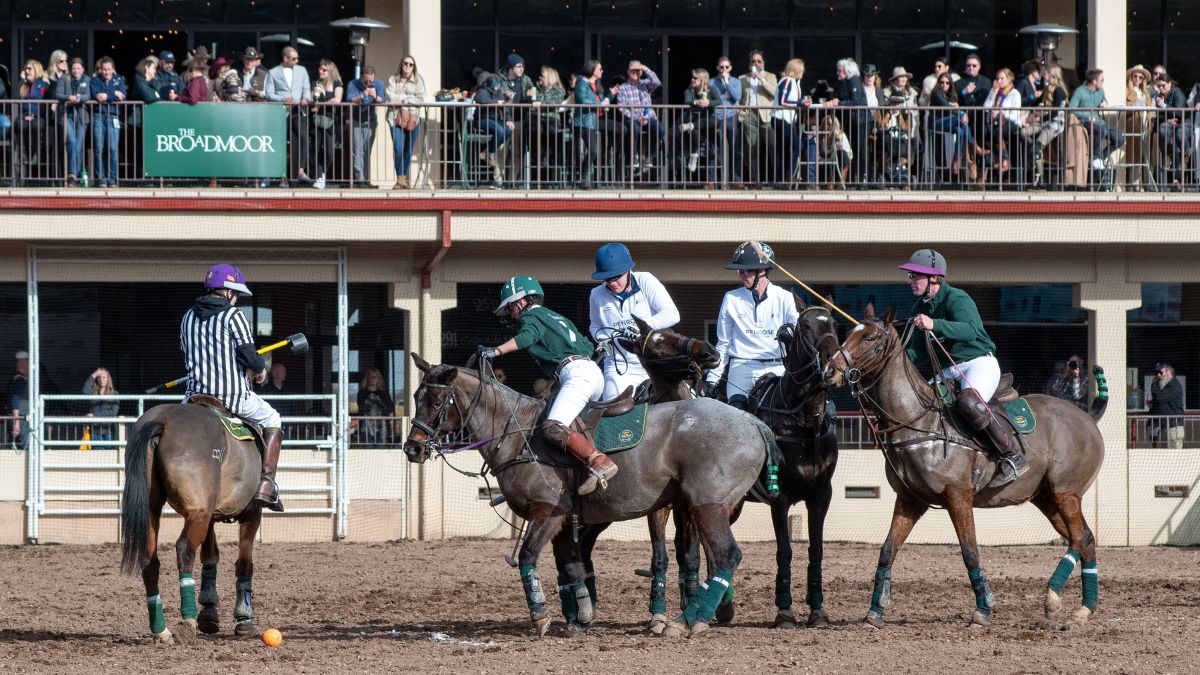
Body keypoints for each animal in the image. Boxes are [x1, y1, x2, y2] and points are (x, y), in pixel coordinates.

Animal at [117, 401, 267, 638]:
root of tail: (163, 419)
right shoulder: (252, 514)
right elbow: (244, 564)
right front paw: (244, 617)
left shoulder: (211, 516)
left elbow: (210, 558)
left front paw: (209, 613)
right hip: (198, 513)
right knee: (184, 549)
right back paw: (187, 620)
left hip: (153, 510)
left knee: (150, 561)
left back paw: (161, 631)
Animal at [405, 353, 777, 634]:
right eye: (415, 398)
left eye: (436, 401)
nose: (412, 448)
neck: (517, 435)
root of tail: (755, 423)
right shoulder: (564, 520)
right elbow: (572, 567)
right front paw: (581, 618)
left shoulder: (548, 510)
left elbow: (527, 556)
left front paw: (541, 616)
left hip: (707, 504)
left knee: (727, 555)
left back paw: (686, 621)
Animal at [825, 305, 1104, 624]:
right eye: (849, 333)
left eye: (870, 338)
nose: (830, 370)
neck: (918, 421)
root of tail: (1088, 417)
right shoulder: (909, 499)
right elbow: (887, 550)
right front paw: (875, 610)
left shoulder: (958, 495)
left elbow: (970, 552)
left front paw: (983, 609)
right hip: (1046, 497)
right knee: (1085, 539)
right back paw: (1084, 608)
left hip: (1065, 492)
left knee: (1079, 537)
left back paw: (1053, 597)